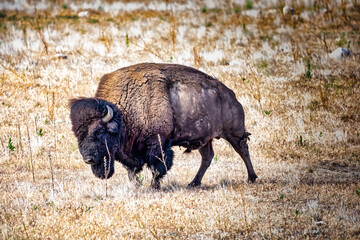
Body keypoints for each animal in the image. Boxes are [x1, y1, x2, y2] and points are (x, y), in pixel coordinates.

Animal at [69, 62, 256, 189]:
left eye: (99, 131)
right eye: (78, 135)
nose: (88, 159)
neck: (123, 114)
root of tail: (230, 94)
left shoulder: (158, 142)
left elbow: (158, 166)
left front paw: (154, 186)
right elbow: (131, 170)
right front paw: (137, 186)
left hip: (234, 133)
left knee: (243, 150)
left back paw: (252, 178)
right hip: (205, 139)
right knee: (207, 157)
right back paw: (193, 183)